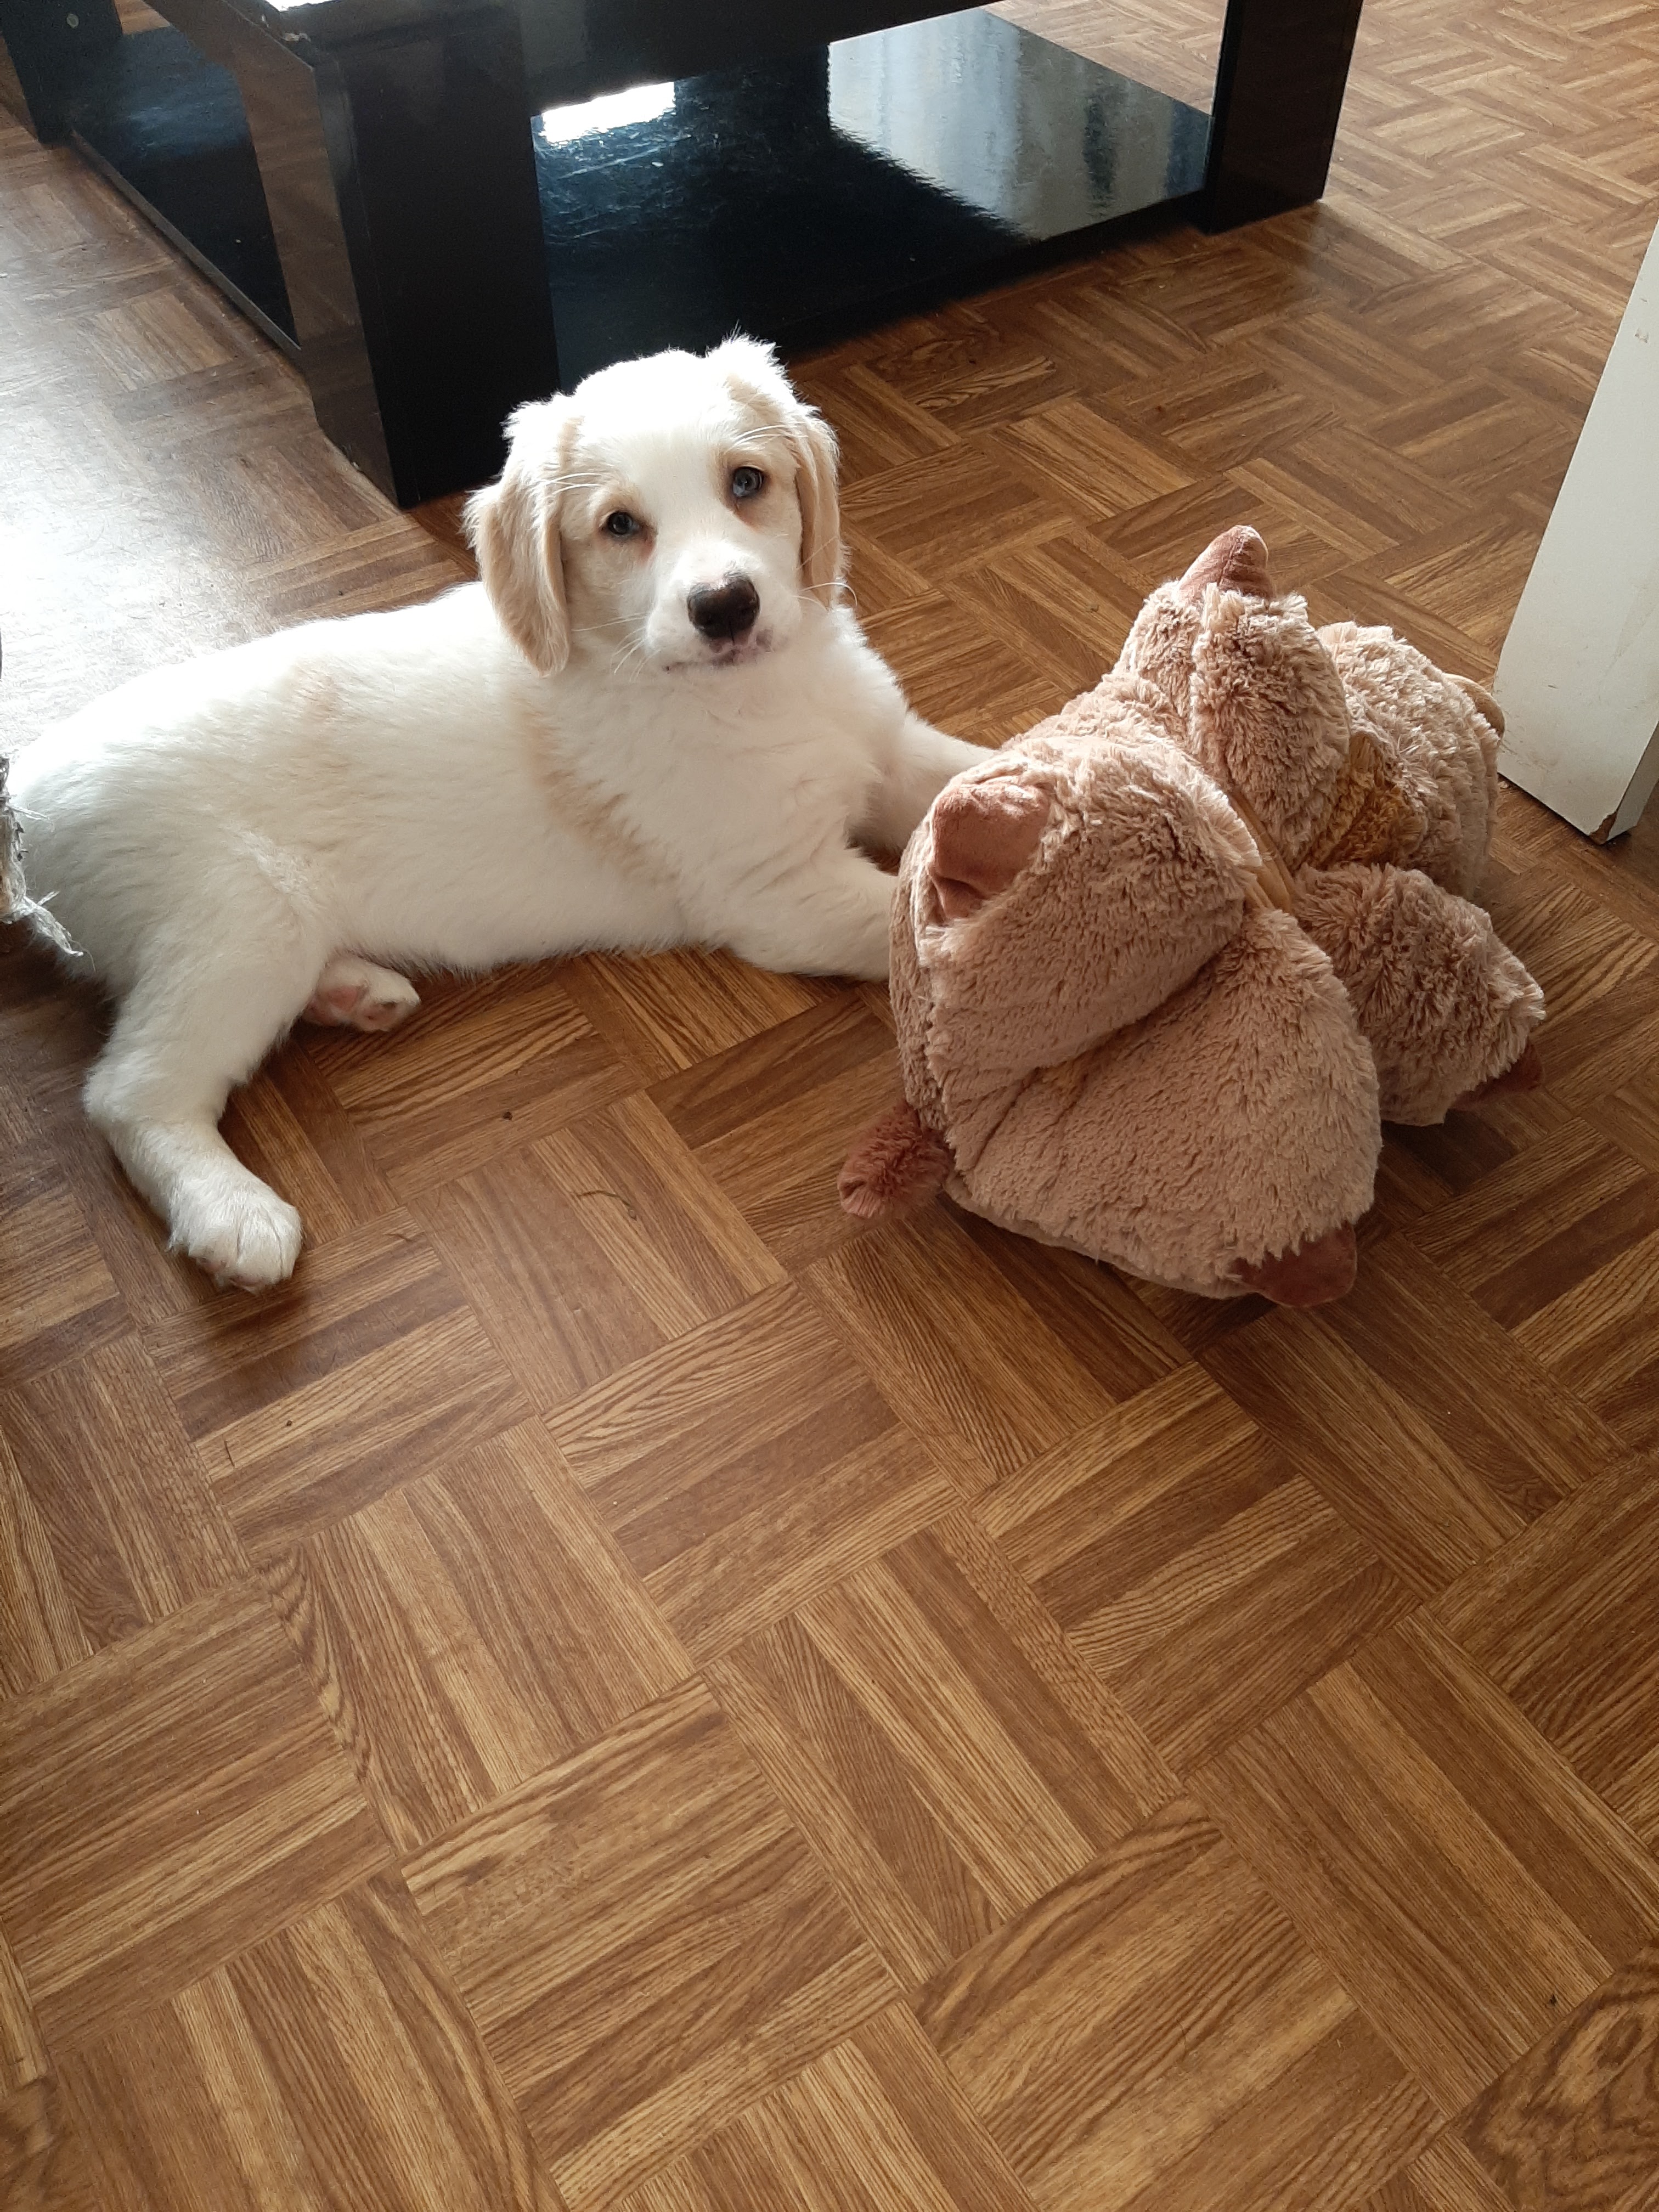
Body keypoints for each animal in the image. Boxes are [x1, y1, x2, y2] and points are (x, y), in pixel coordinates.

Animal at [2, 338, 980, 1290]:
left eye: (747, 482)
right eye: (620, 526)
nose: (727, 608)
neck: (753, 692)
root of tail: (26, 794)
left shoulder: (889, 751)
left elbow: (968, 774)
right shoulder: (778, 893)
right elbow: (904, 918)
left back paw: (355, 993)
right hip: (240, 925)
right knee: (132, 1092)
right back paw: (229, 1216)